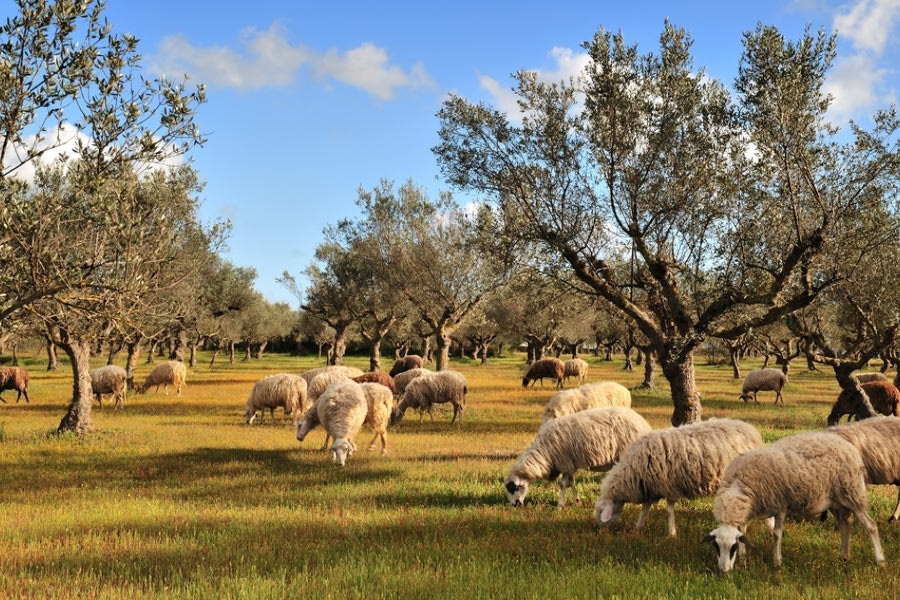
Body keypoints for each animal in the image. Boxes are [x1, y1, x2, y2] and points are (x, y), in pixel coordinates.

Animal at [502, 406, 652, 508]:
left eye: (512, 488)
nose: (515, 505)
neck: (544, 453)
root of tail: (643, 423)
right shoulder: (570, 464)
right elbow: (571, 483)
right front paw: (577, 500)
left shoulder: (564, 462)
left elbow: (563, 484)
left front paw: (560, 505)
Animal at [596, 418, 764, 540]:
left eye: (600, 511)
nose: (597, 529)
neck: (633, 471)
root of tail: (752, 431)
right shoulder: (651, 488)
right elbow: (645, 509)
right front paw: (638, 527)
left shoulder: (669, 487)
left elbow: (669, 511)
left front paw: (671, 533)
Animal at [704, 432, 884, 572]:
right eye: (716, 546)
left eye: (732, 547)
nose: (724, 571)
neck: (739, 484)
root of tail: (849, 446)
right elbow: (743, 531)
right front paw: (743, 559)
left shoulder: (781, 505)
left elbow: (776, 534)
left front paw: (777, 562)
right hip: (836, 502)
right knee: (845, 526)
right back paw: (844, 557)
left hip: (852, 493)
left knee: (871, 525)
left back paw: (880, 560)